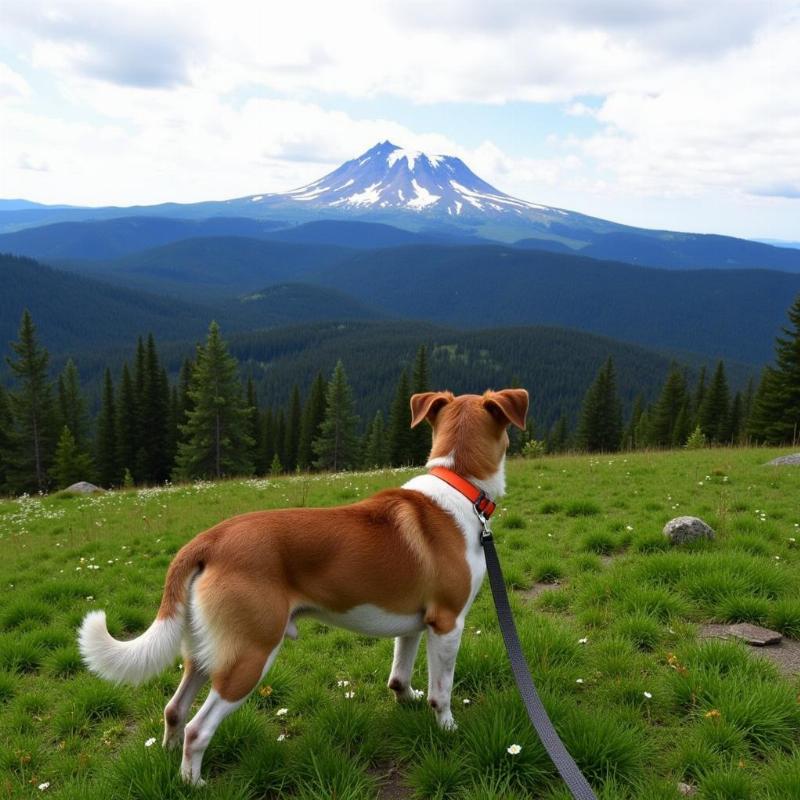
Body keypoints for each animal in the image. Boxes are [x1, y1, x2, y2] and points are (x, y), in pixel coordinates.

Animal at [78, 388, 528, 780]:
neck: (459, 485)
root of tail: (206, 541)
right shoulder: (448, 623)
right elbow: (443, 692)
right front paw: (448, 728)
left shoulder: (415, 623)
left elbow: (399, 678)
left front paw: (408, 702)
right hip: (251, 653)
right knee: (197, 728)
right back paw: (193, 783)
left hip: (207, 650)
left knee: (174, 711)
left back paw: (170, 762)